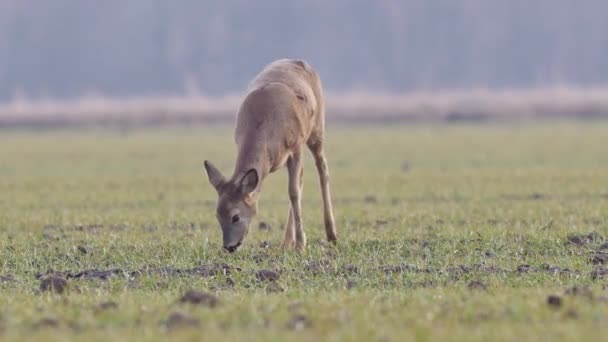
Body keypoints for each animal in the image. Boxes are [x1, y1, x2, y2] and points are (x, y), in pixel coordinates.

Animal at [204, 58, 338, 251]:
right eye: (217, 215)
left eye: (235, 216)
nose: (229, 246)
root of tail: (299, 61)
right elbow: (295, 189)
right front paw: (295, 242)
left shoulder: (296, 146)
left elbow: (293, 192)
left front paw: (301, 245)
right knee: (303, 177)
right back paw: (286, 242)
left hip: (317, 129)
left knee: (322, 169)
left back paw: (331, 234)